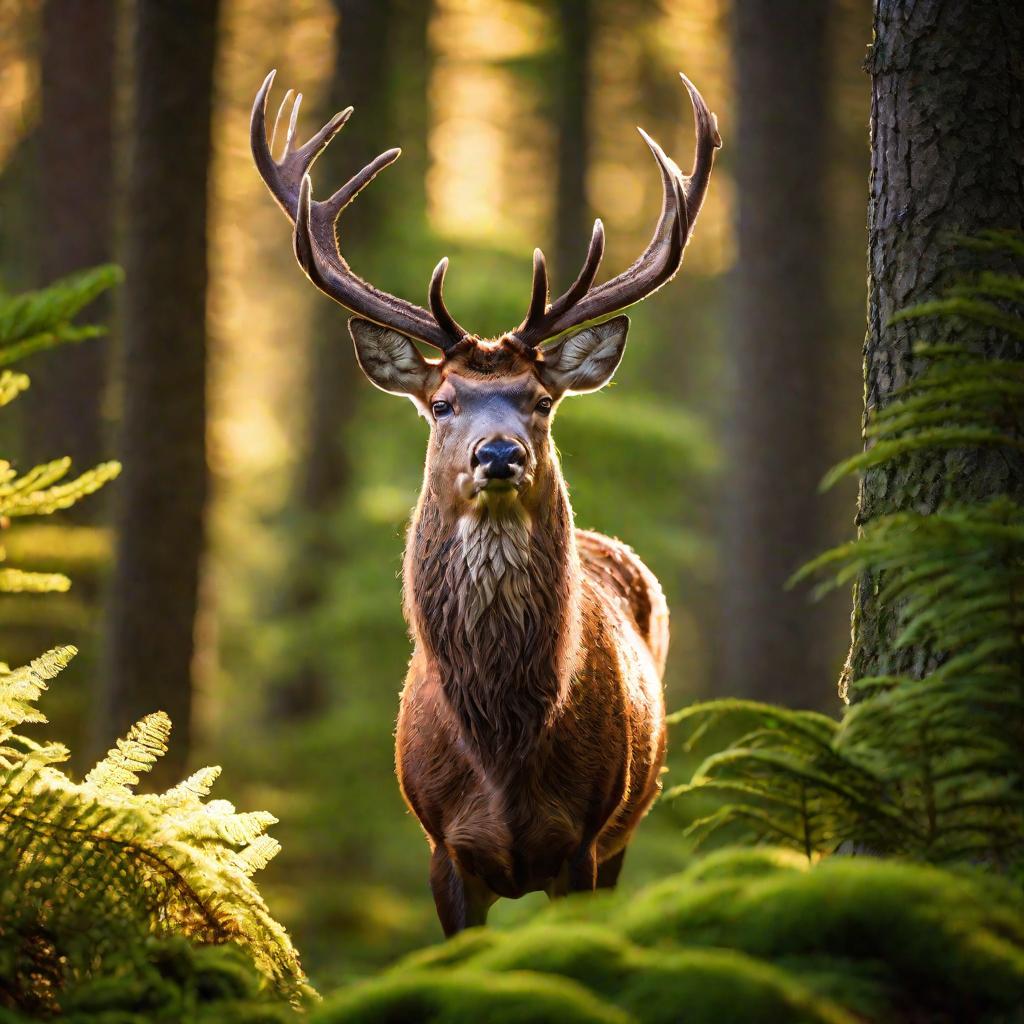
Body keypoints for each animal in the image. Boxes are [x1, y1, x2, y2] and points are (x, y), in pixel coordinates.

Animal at [252, 70, 724, 937]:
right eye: (443, 402)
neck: (502, 749)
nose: (499, 453)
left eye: (540, 400)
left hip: (628, 826)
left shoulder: (583, 842)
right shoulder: (443, 845)